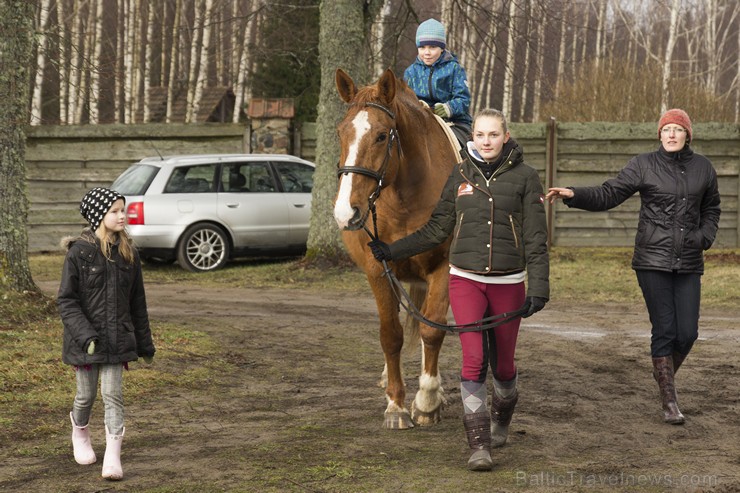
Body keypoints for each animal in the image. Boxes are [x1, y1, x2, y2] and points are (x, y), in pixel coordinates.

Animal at [332, 68, 460, 426]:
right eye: (340, 133)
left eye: (380, 136)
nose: (346, 211)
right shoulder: (378, 269)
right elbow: (391, 335)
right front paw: (396, 404)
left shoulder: (442, 268)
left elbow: (432, 331)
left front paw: (427, 401)